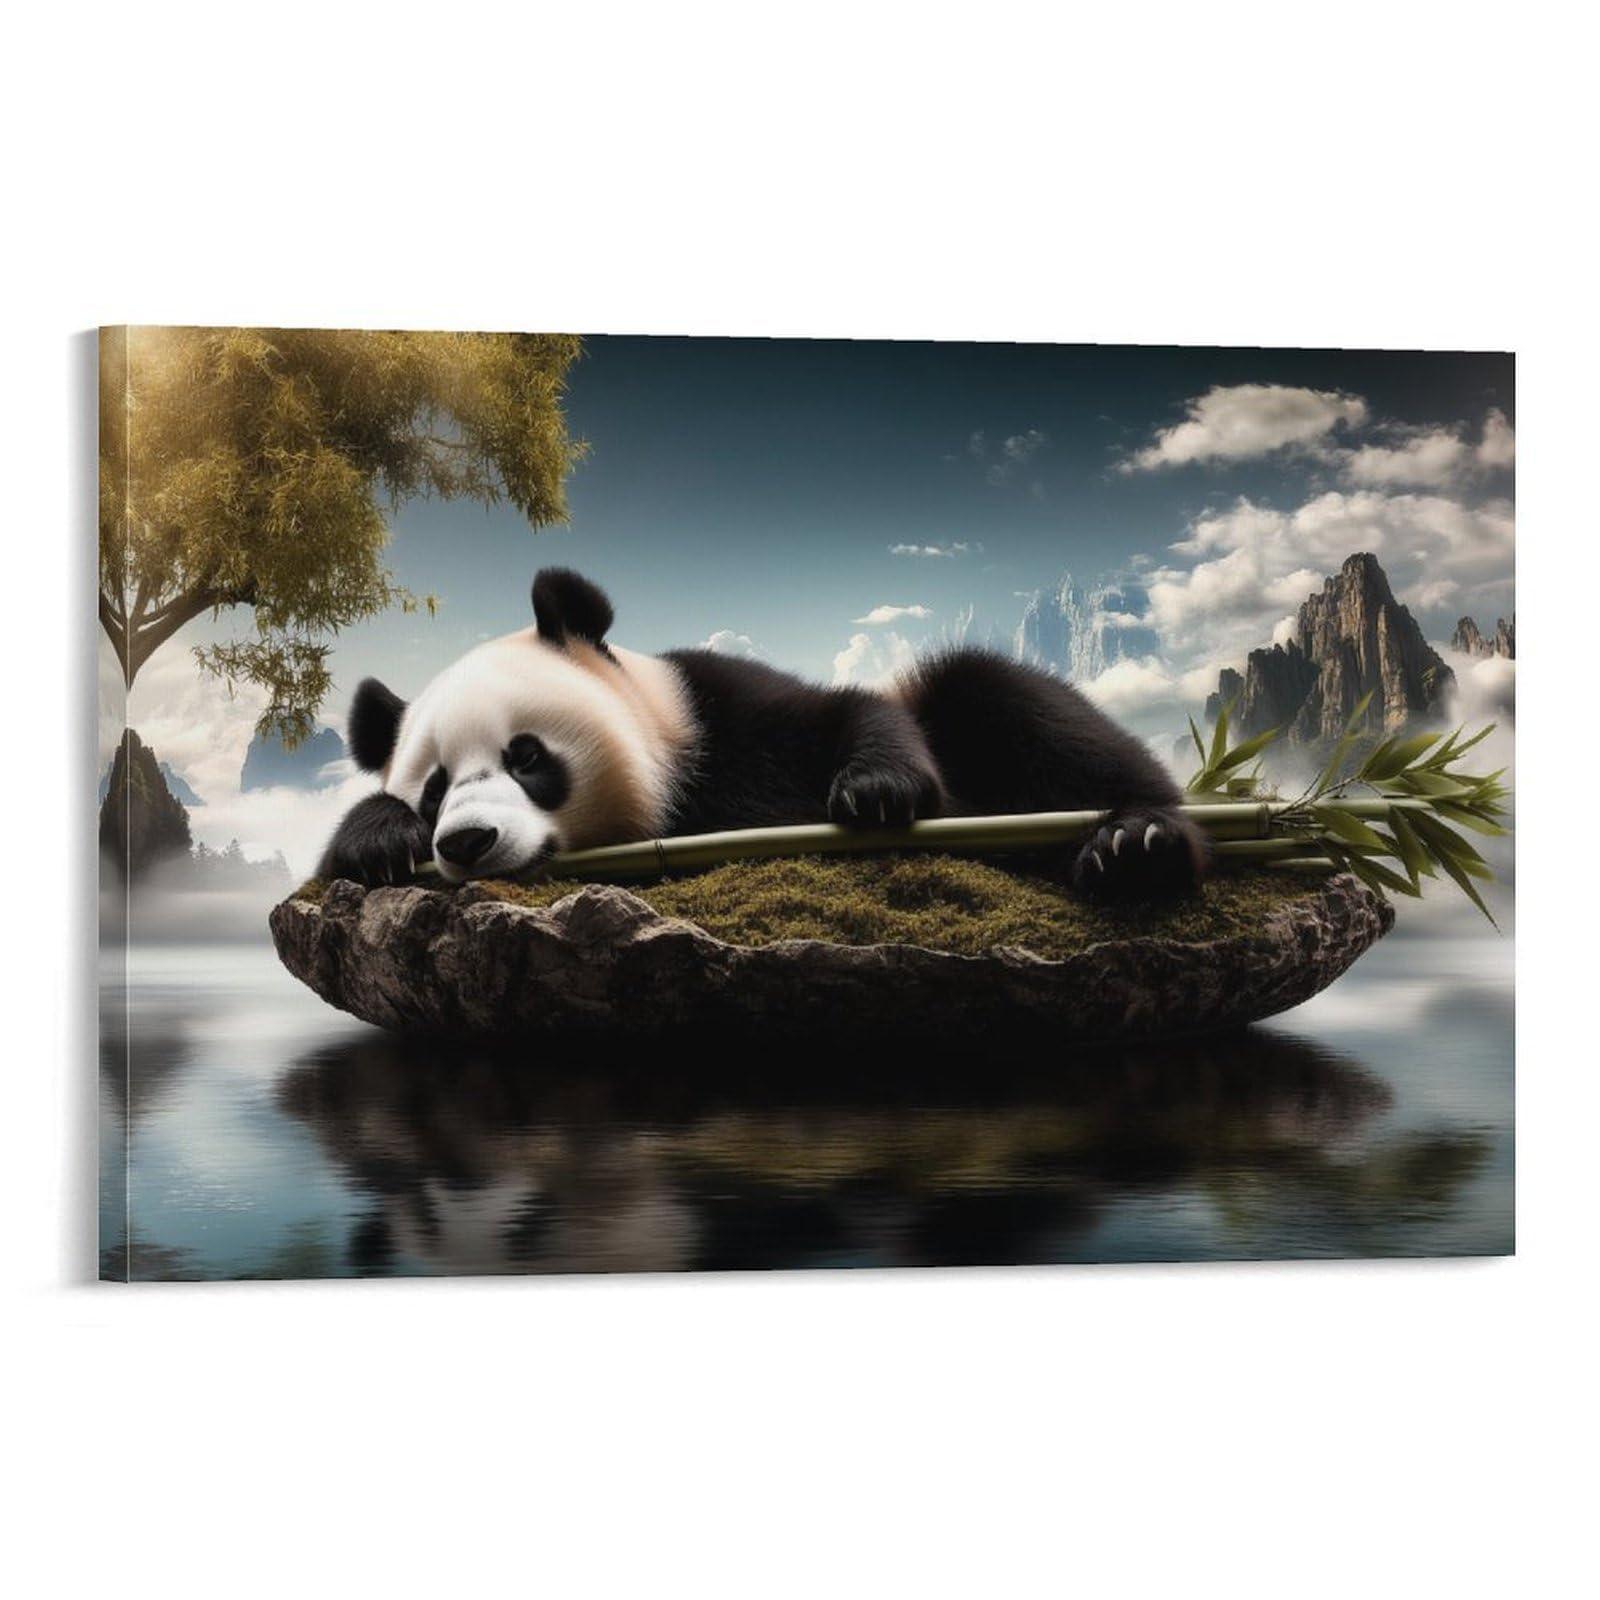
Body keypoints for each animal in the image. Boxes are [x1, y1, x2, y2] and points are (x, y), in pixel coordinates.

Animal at [319, 567, 1206, 903]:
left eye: (527, 755)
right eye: (432, 792)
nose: (466, 842)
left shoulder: (717, 714)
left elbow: (847, 714)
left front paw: (875, 791)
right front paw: (378, 841)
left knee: (1003, 700)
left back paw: (1135, 848)